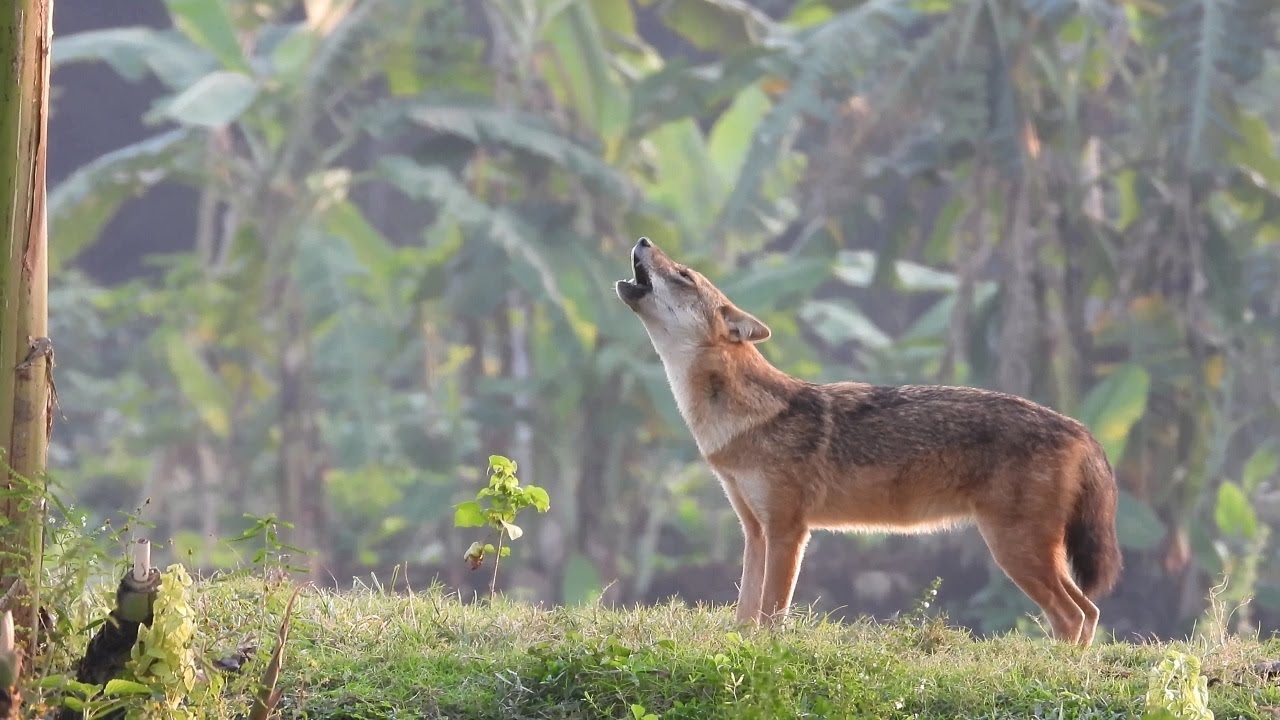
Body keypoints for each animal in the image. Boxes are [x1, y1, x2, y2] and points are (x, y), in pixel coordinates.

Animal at [615, 236, 1123, 646]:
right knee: (1090, 610)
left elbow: (772, 614)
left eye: (684, 275)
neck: (742, 418)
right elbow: (745, 616)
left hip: (1014, 549)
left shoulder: (788, 531)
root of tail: (1080, 428)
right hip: (1030, 552)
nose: (643, 240)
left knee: (1072, 615)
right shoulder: (756, 532)